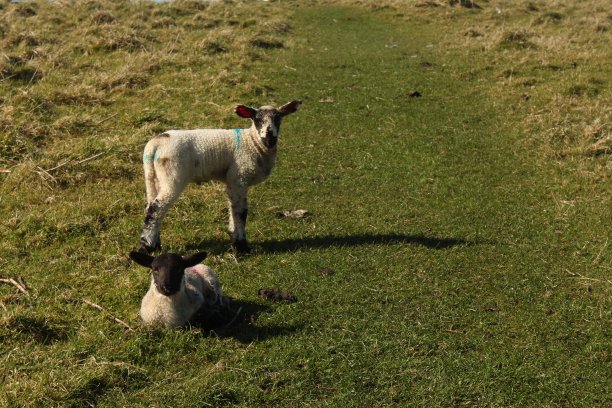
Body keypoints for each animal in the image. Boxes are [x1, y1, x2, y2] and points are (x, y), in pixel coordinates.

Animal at [137, 99, 302, 252]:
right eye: (257, 119)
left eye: (278, 118)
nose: (269, 136)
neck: (252, 142)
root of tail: (155, 144)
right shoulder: (239, 177)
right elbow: (241, 211)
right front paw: (242, 246)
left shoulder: (231, 180)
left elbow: (232, 208)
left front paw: (234, 238)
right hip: (172, 176)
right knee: (156, 208)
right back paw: (147, 247)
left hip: (153, 177)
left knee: (150, 206)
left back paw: (155, 244)